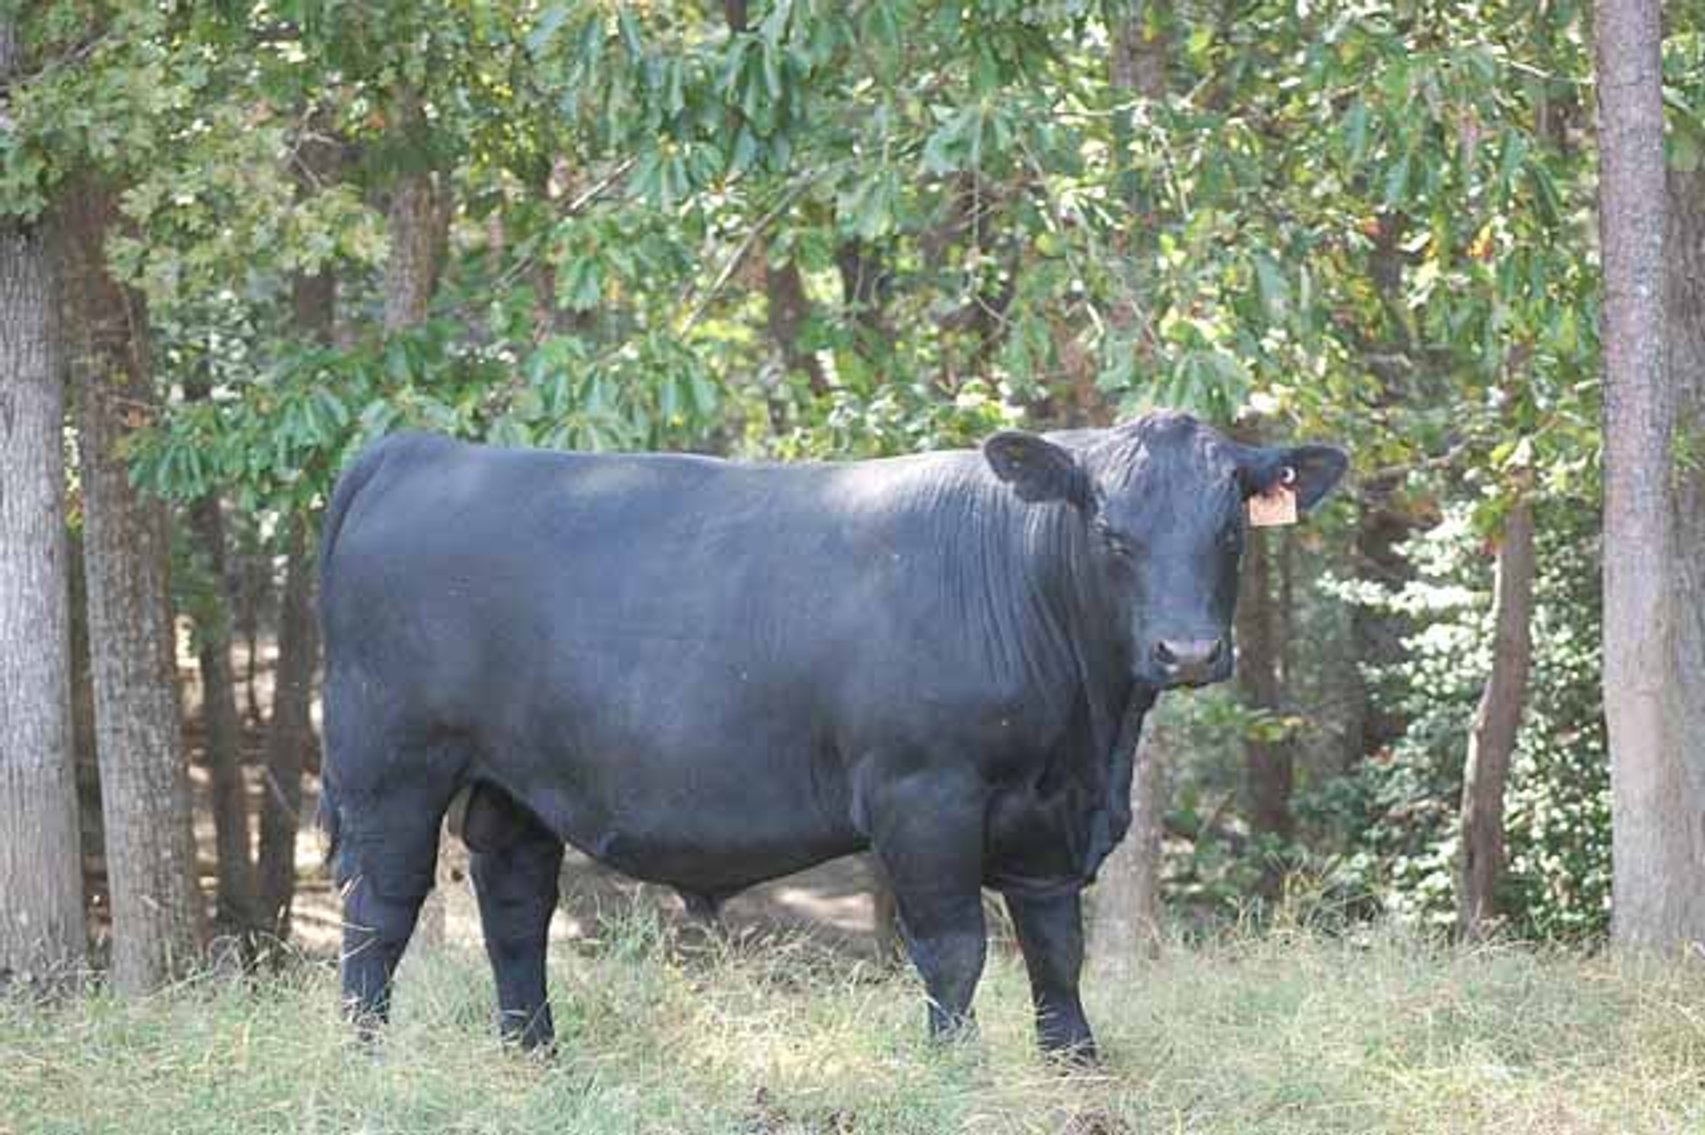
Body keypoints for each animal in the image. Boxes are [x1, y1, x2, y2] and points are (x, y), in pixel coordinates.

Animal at [318, 411, 1347, 1060]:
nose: (1188, 650)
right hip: (390, 767)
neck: (1091, 736)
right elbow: (953, 947)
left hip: (515, 780)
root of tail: (415, 450)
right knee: (380, 910)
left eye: (1228, 530)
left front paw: (1075, 1065)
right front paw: (956, 1070)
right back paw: (368, 1058)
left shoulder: (1048, 814)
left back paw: (534, 1055)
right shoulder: (924, 791)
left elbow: (1056, 946)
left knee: (514, 904)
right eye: (1110, 531)